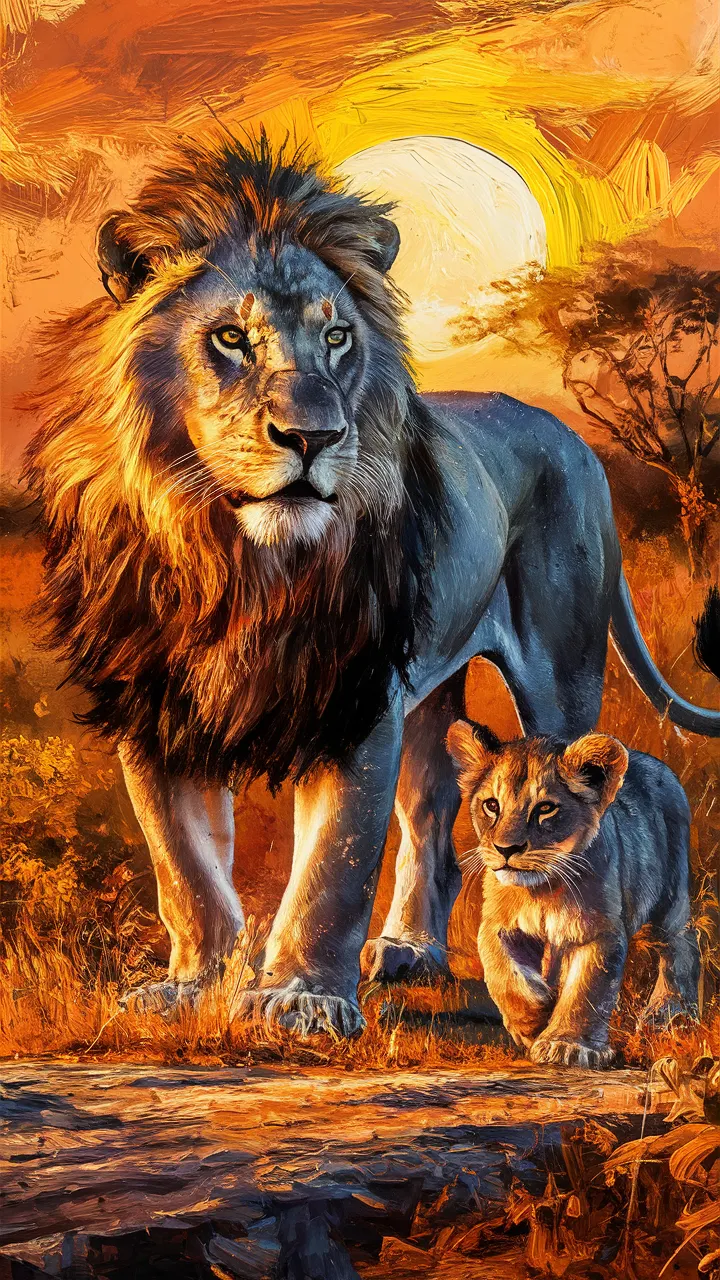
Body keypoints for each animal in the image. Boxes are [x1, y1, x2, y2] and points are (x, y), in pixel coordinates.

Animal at [446, 720, 700, 1068]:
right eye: (492, 805)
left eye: (545, 809)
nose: (506, 849)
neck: (542, 889)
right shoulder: (498, 925)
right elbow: (503, 972)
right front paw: (534, 1019)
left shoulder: (600, 931)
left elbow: (587, 989)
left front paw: (567, 1045)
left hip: (670, 897)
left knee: (680, 944)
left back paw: (670, 1014)